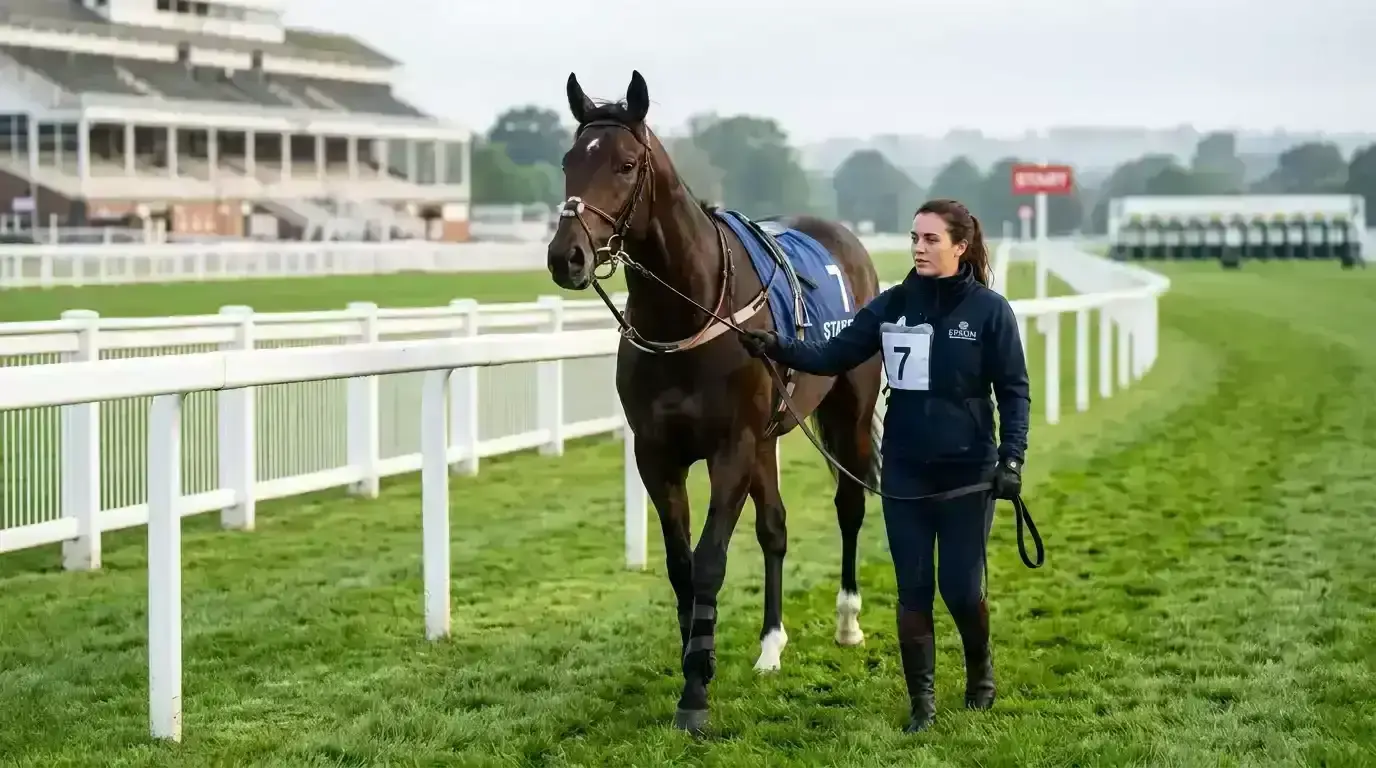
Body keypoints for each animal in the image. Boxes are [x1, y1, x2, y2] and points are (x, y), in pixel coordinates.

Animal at [545, 70, 885, 734]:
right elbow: (681, 566)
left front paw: (695, 692)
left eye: (626, 164)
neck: (691, 310)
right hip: (770, 437)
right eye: (570, 160)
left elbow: (708, 561)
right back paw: (771, 646)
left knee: (850, 504)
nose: (565, 256)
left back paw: (847, 621)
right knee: (775, 528)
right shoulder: (659, 454)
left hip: (847, 413)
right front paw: (695, 660)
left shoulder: (731, 449)